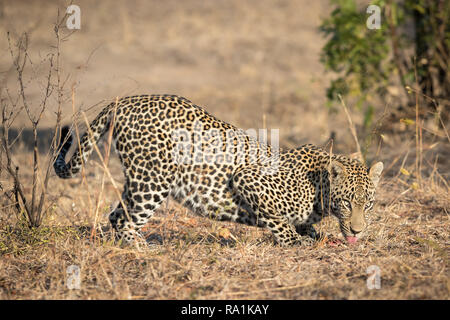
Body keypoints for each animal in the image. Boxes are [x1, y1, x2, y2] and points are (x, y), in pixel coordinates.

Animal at [53, 94, 384, 246]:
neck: (318, 190)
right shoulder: (248, 178)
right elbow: (279, 222)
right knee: (124, 219)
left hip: (139, 179)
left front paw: (316, 236)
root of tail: (124, 101)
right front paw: (295, 242)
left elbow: (307, 227)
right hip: (152, 180)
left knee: (115, 214)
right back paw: (144, 249)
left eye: (367, 204)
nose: (358, 230)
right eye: (346, 203)